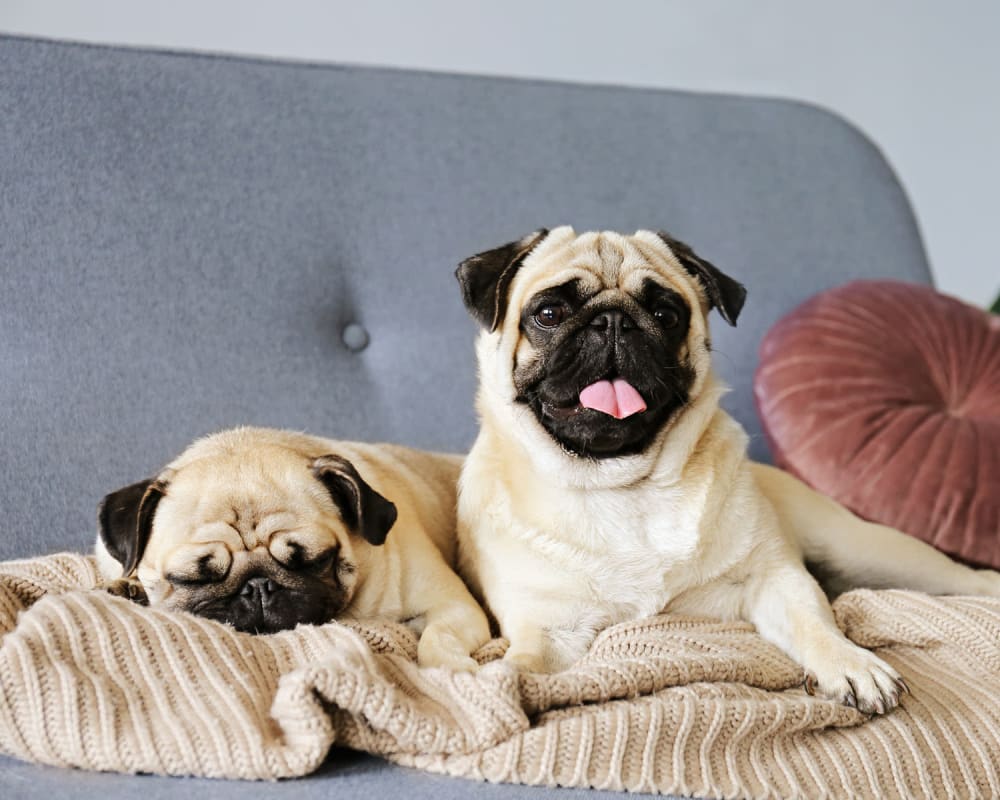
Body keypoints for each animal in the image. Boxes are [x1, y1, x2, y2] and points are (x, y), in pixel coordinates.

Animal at [97, 424, 492, 668]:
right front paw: (129, 586)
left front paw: (450, 669)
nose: (257, 587)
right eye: (192, 577)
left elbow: (437, 638)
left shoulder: (452, 605)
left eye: (314, 560)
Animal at [456, 225, 1000, 712]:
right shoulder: (551, 629)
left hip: (866, 550)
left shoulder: (774, 578)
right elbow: (525, 665)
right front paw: (498, 687)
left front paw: (851, 663)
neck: (624, 484)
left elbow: (816, 623)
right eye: (549, 313)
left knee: (963, 579)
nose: (612, 322)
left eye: (666, 314)